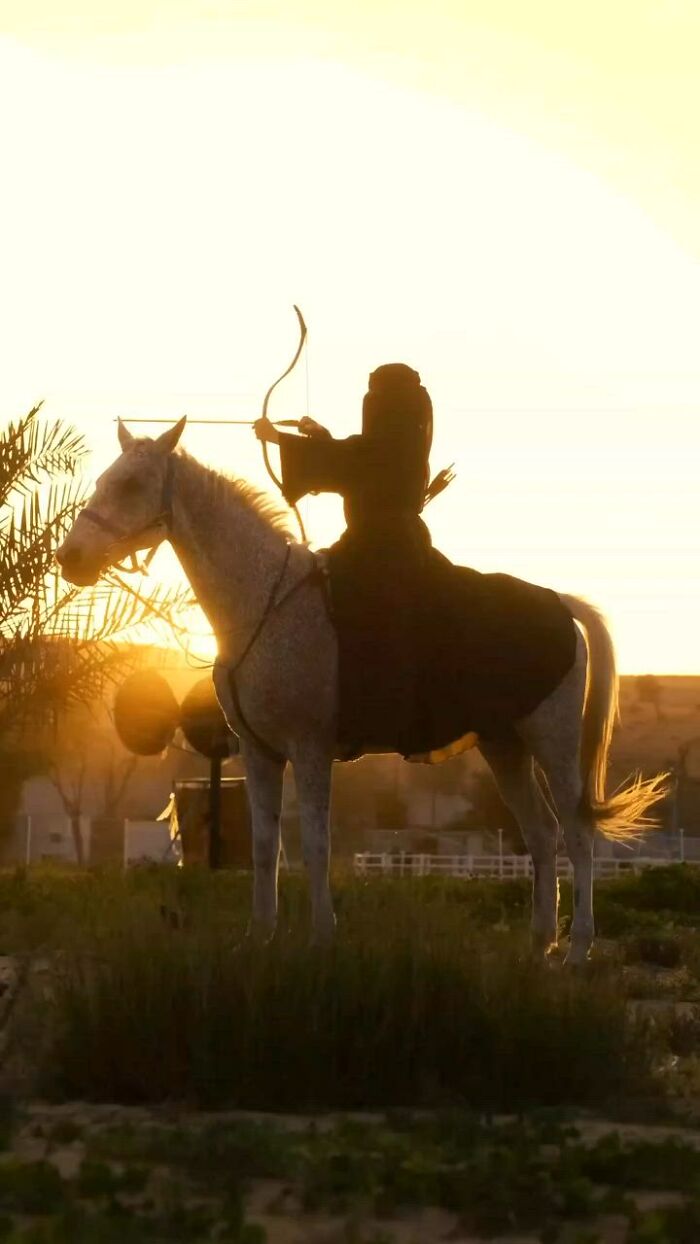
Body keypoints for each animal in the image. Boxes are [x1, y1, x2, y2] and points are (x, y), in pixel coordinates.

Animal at [57, 417, 666, 965]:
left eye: (132, 484)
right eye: (103, 480)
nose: (70, 559)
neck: (263, 601)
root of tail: (559, 604)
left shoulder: (309, 749)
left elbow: (316, 844)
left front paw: (321, 939)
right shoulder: (259, 752)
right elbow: (264, 847)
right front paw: (258, 938)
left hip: (552, 742)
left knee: (577, 834)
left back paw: (578, 949)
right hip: (504, 746)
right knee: (541, 835)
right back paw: (539, 945)